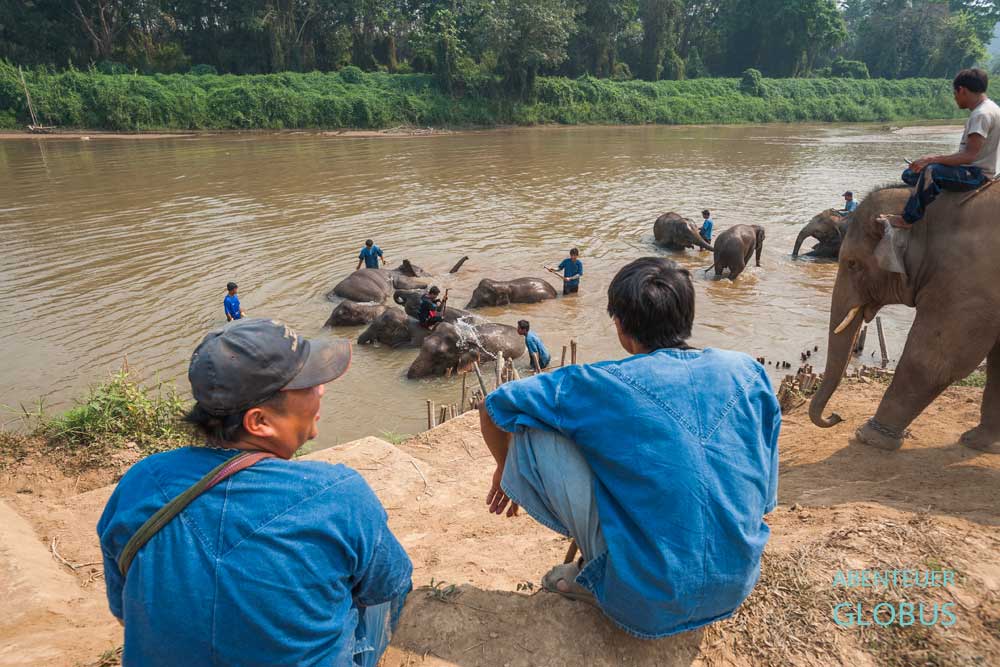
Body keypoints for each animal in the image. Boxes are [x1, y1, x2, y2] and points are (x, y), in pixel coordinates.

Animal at [809, 183, 1000, 453]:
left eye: (852, 263)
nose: (836, 416)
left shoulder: (969, 280)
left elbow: (936, 359)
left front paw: (869, 437)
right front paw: (980, 443)